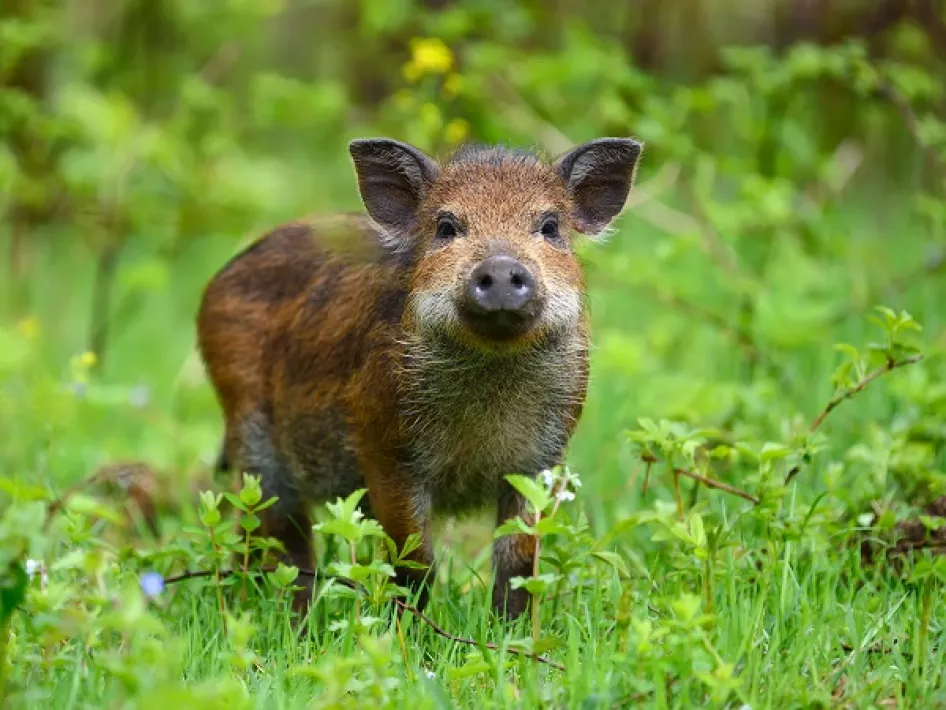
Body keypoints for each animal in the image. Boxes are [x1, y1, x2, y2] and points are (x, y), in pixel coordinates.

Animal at [196, 136, 643, 619]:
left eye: (549, 226)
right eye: (446, 227)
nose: (500, 267)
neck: (492, 379)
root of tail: (220, 278)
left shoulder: (542, 458)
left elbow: (519, 560)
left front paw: (512, 628)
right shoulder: (386, 451)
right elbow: (413, 561)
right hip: (251, 434)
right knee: (277, 535)